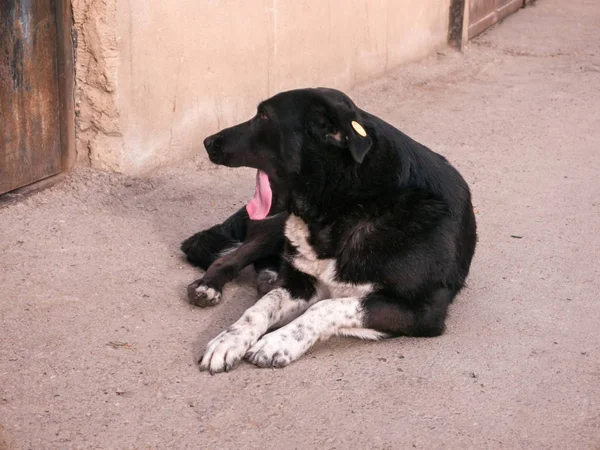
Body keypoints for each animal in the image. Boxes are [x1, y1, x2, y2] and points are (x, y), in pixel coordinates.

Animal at [195, 87, 476, 372]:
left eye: (263, 115)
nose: (207, 141)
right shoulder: (302, 284)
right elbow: (261, 308)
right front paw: (229, 339)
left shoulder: (421, 309)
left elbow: (326, 307)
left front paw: (277, 342)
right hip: (275, 227)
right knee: (231, 258)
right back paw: (209, 286)